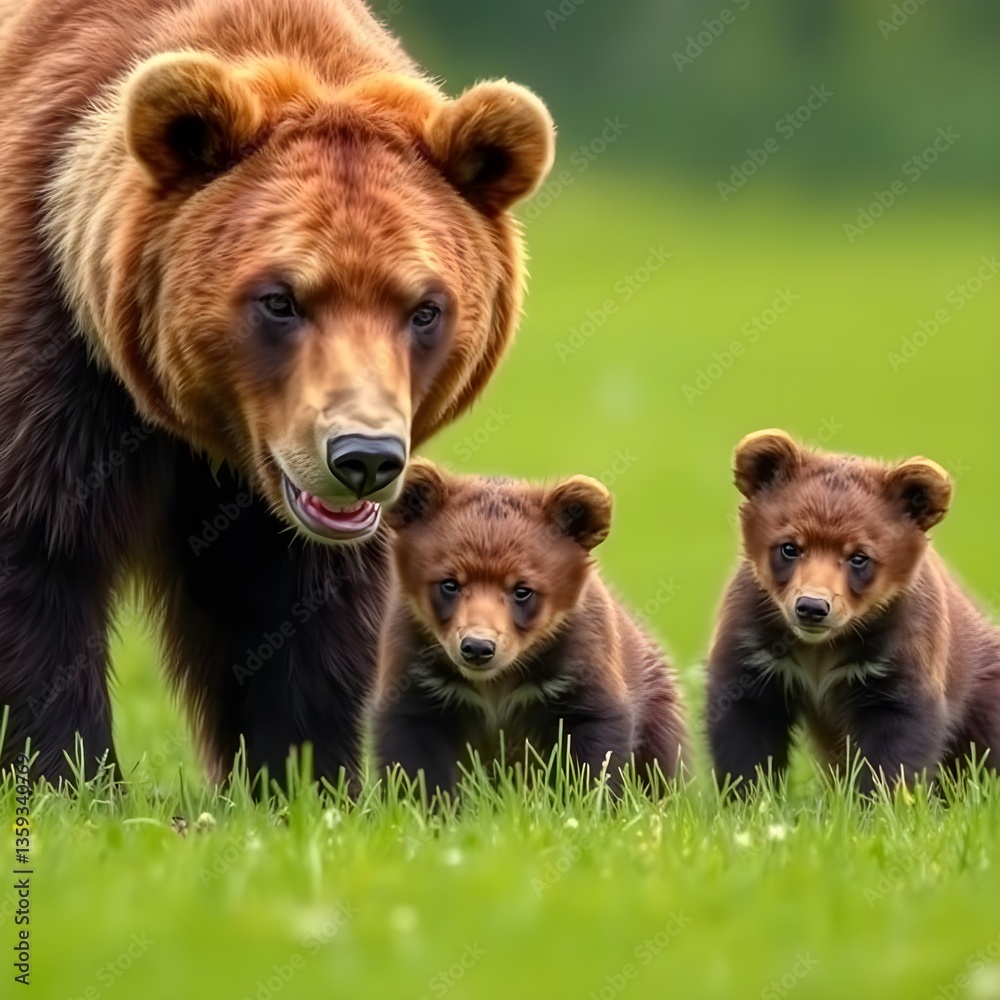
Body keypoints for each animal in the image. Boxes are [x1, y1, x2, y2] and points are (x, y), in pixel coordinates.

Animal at [0, 0, 555, 784]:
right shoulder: (56, 361)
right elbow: (42, 552)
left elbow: (304, 612)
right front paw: (68, 773)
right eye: (280, 300)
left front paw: (303, 774)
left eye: (425, 307)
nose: (364, 458)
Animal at [369, 460, 689, 796]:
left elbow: (595, 741)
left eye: (523, 589)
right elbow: (414, 752)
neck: (496, 682)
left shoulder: (579, 661)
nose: (478, 647)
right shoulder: (418, 668)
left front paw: (584, 797)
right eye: (450, 583)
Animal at [706, 429, 1000, 795]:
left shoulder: (899, 651)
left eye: (859, 556)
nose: (812, 607)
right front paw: (749, 794)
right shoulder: (755, 642)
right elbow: (744, 725)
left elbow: (897, 738)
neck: (821, 649)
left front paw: (879, 798)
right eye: (790, 547)